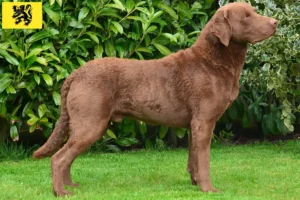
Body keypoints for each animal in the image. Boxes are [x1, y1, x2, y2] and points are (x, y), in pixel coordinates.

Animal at [32, 2, 276, 196]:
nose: (275, 22)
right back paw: (61, 192)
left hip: (83, 124)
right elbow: (204, 159)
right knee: (59, 158)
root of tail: (76, 73)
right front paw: (208, 189)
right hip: (91, 123)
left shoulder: (193, 124)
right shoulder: (204, 121)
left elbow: (193, 158)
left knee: (67, 156)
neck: (211, 61)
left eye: (254, 12)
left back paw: (70, 186)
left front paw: (195, 183)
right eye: (246, 17)